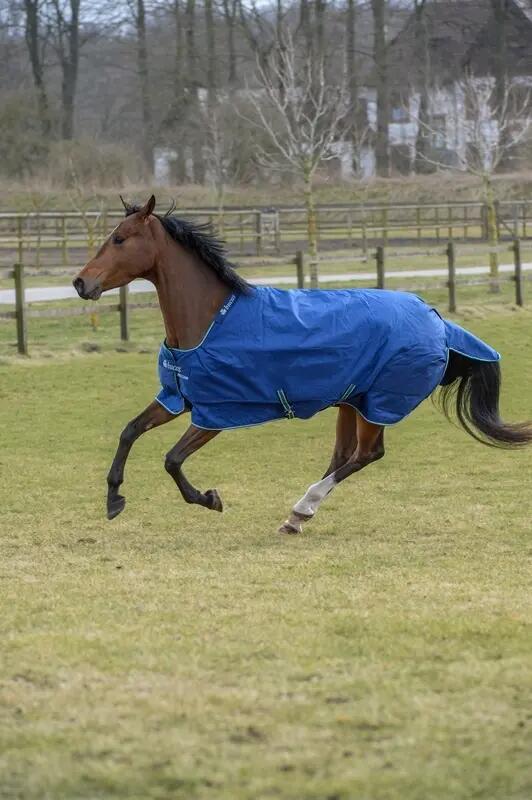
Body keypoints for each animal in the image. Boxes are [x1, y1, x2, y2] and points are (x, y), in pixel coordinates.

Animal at [73, 195, 532, 534]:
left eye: (120, 238)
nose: (81, 283)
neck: (210, 321)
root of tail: (437, 320)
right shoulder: (178, 397)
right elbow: (130, 431)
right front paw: (113, 499)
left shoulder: (217, 412)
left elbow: (171, 460)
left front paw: (209, 499)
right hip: (352, 401)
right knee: (345, 455)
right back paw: (296, 516)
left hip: (379, 404)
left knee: (367, 454)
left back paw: (302, 508)